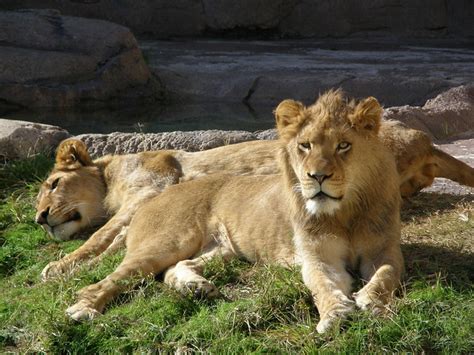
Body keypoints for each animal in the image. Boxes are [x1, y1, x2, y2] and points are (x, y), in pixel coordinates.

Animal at [38, 105, 474, 284]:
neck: (110, 174)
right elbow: (112, 236)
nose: (39, 218)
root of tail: (422, 140)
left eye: (53, 184)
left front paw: (62, 267)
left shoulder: (150, 189)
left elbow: (102, 236)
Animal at [63, 91, 404, 334]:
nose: (317, 176)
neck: (345, 212)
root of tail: (157, 196)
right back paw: (84, 309)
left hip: (220, 250)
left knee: (176, 267)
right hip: (165, 243)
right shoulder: (317, 257)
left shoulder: (384, 250)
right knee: (109, 280)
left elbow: (387, 274)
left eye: (343, 145)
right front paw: (335, 313)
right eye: (305, 146)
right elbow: (322, 285)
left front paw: (372, 302)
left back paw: (196, 287)